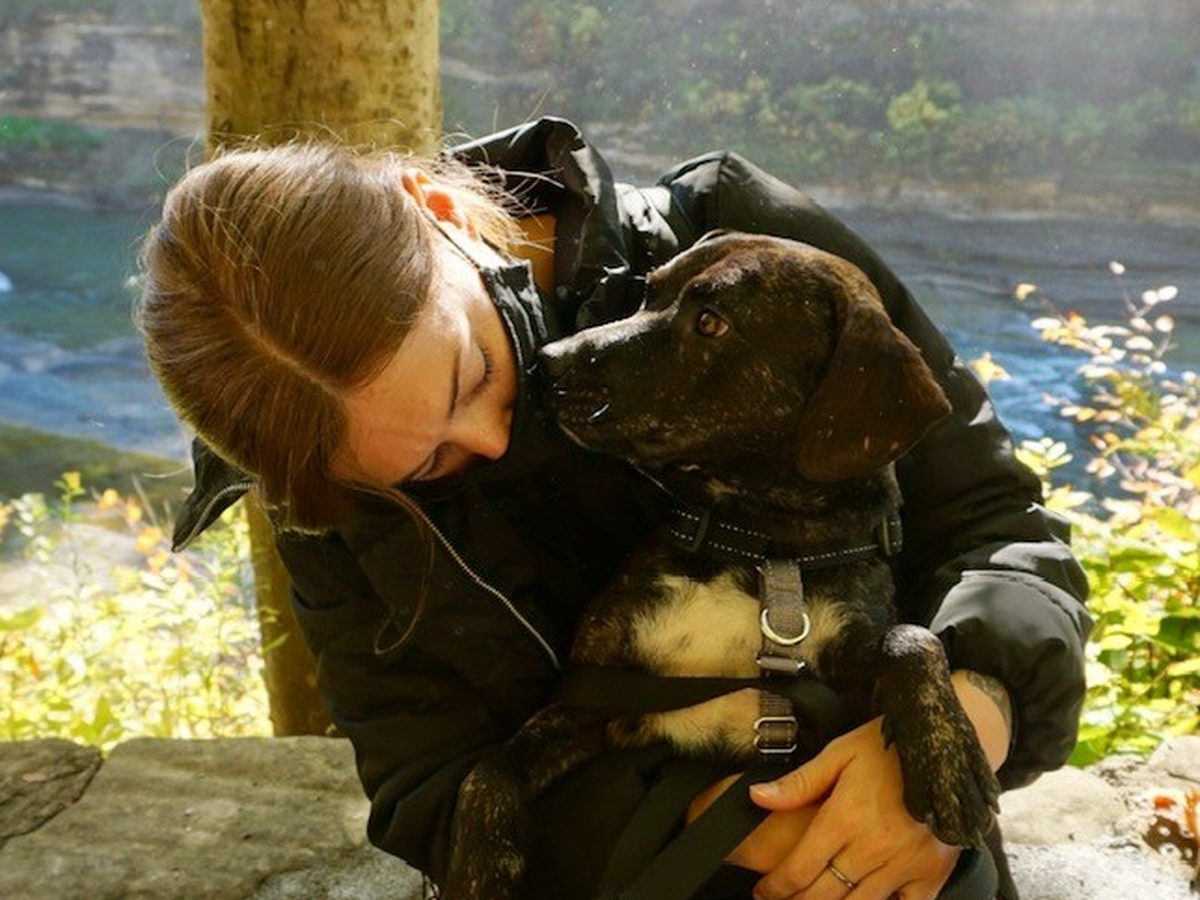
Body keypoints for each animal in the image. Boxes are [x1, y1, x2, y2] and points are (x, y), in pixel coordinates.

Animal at [442, 231, 1000, 899]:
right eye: (649, 290)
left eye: (712, 322)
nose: (547, 361)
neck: (759, 546)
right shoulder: (595, 699)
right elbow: (488, 770)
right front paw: (477, 872)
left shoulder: (842, 702)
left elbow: (911, 638)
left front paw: (950, 762)